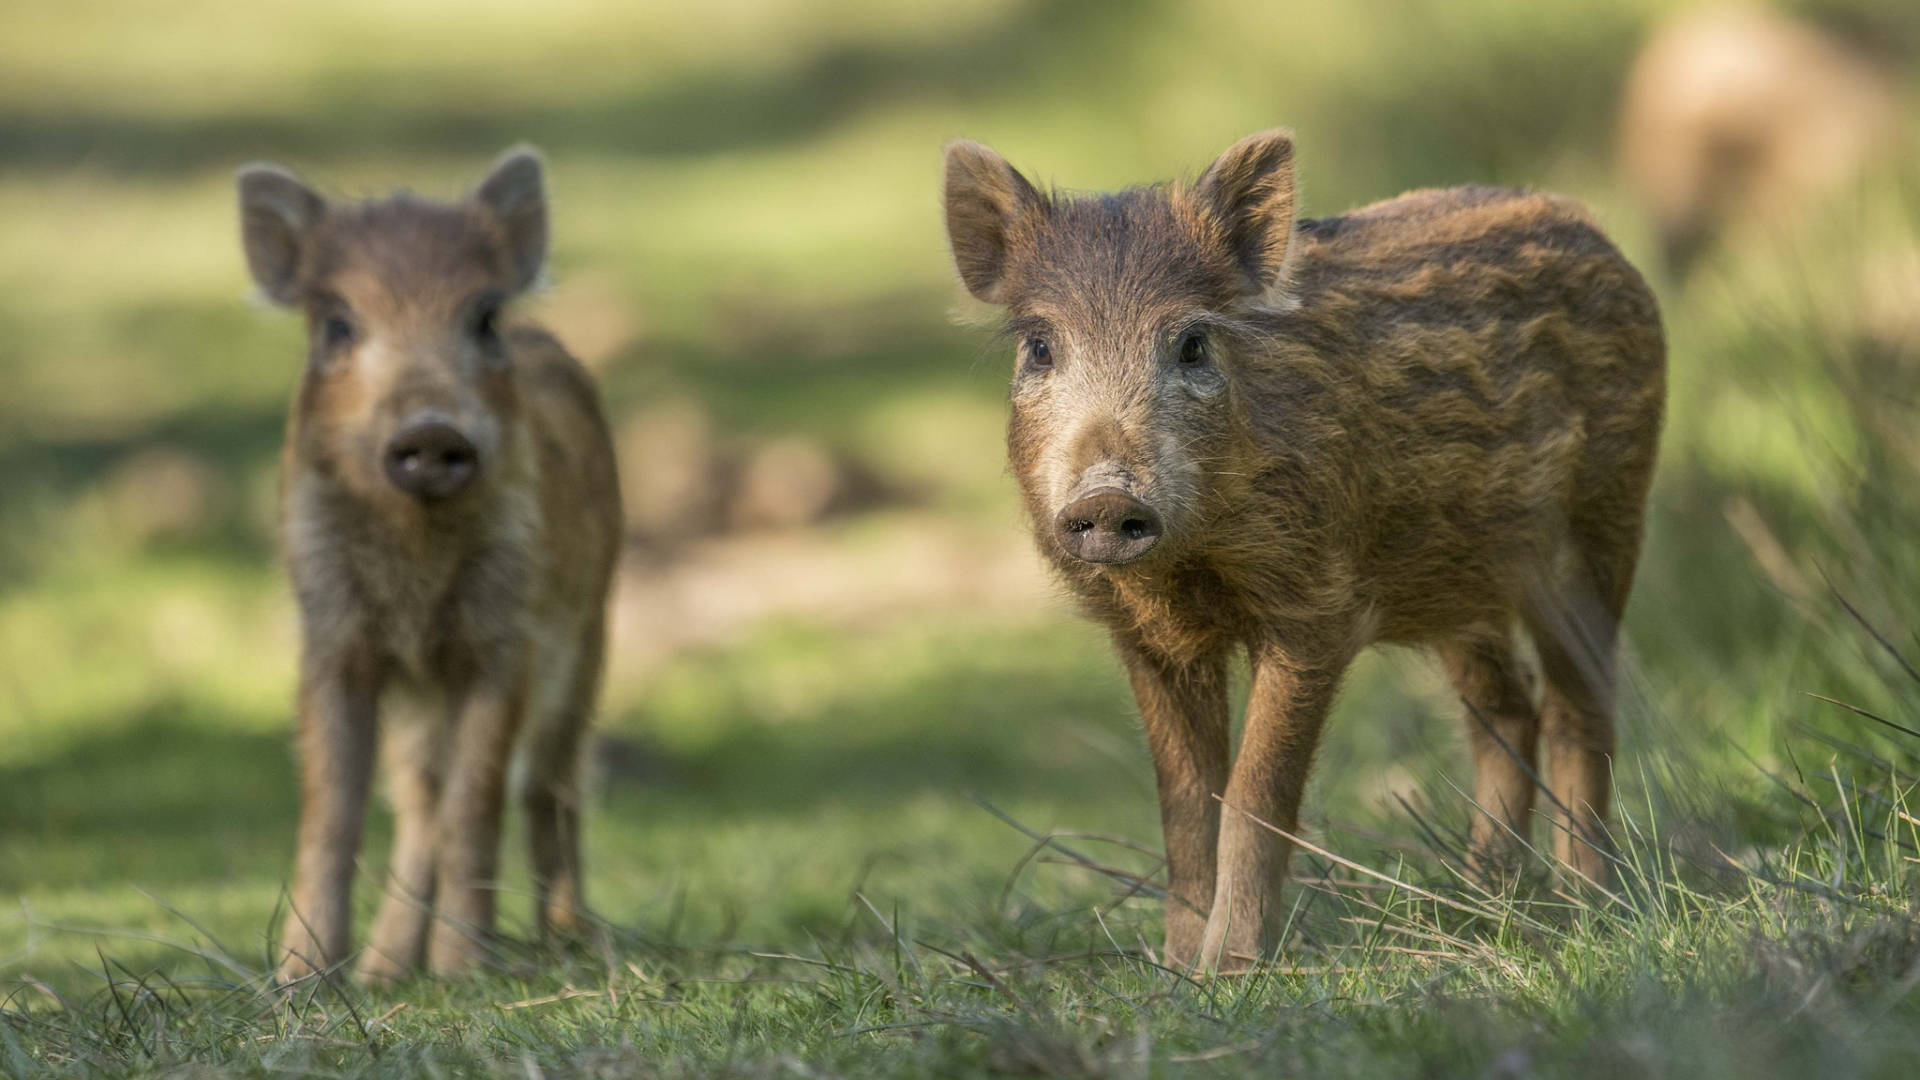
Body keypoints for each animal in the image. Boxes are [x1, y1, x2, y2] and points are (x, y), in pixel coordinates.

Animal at [236, 148, 622, 982]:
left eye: (484, 318)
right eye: (337, 324)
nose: (432, 430)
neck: (415, 564)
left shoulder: (505, 643)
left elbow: (476, 800)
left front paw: (464, 973)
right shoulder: (333, 641)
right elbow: (332, 808)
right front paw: (300, 981)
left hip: (589, 643)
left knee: (552, 782)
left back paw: (571, 941)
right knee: (419, 803)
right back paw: (384, 971)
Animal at [942, 131, 1665, 971]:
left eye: (1192, 343)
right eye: (1038, 346)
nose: (1107, 499)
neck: (1191, 570)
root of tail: (1591, 227)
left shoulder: (1315, 608)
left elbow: (1255, 791)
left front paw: (1229, 969)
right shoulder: (1147, 639)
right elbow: (1185, 801)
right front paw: (1177, 969)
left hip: (1602, 524)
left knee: (1582, 701)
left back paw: (1587, 905)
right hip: (1456, 590)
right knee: (1506, 707)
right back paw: (1484, 896)